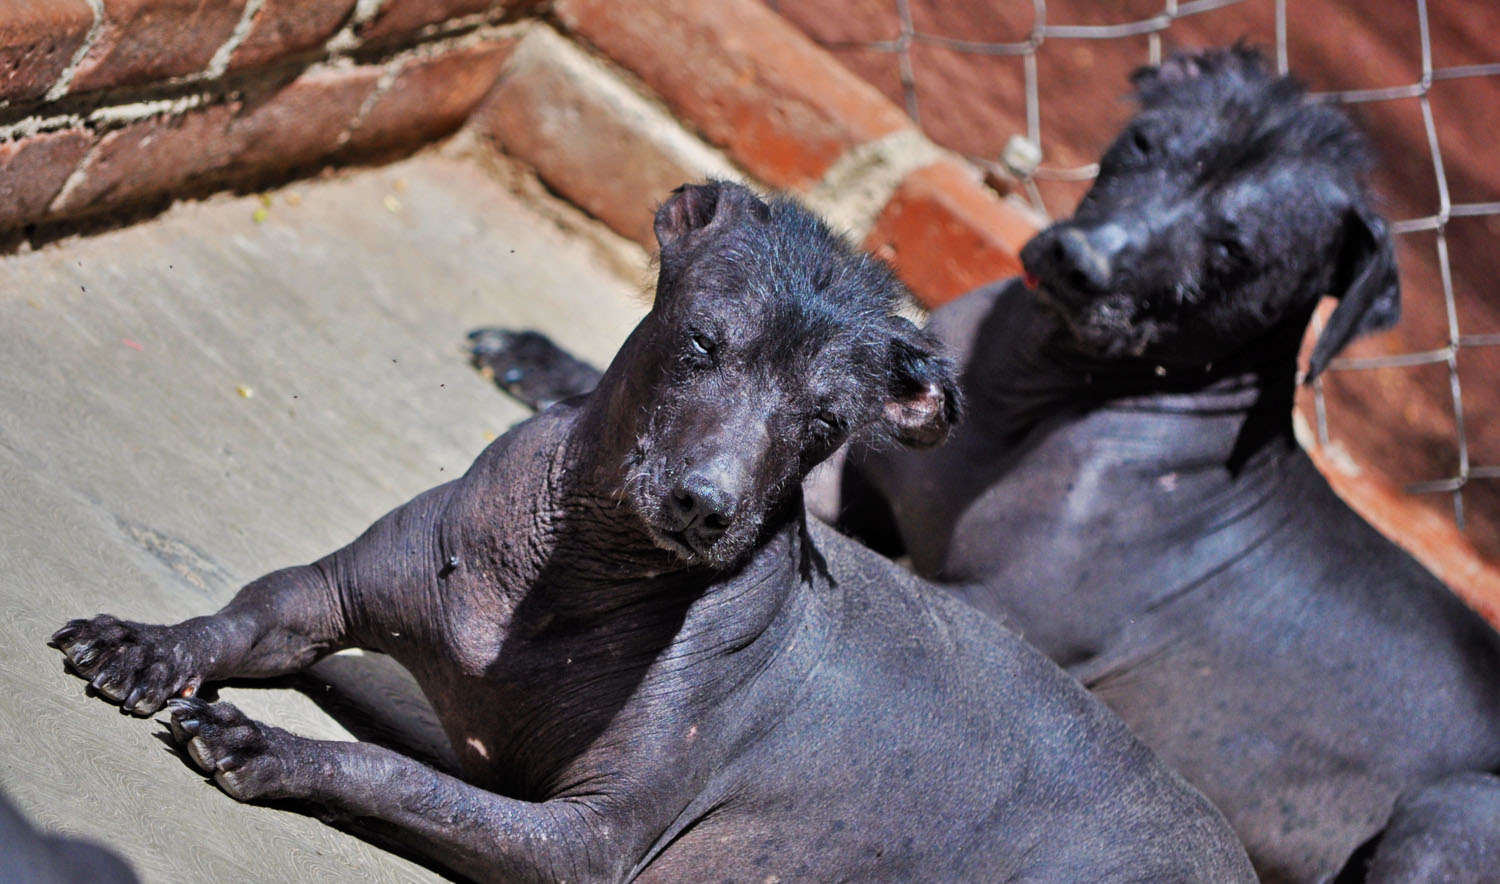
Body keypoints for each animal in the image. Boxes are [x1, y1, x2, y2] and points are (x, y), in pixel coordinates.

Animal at [52, 180, 1254, 882]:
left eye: (824, 427)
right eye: (701, 345)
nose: (706, 506)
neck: (566, 577)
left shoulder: (585, 841)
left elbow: (393, 774)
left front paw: (272, 746)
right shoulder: (330, 596)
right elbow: (258, 609)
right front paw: (150, 647)